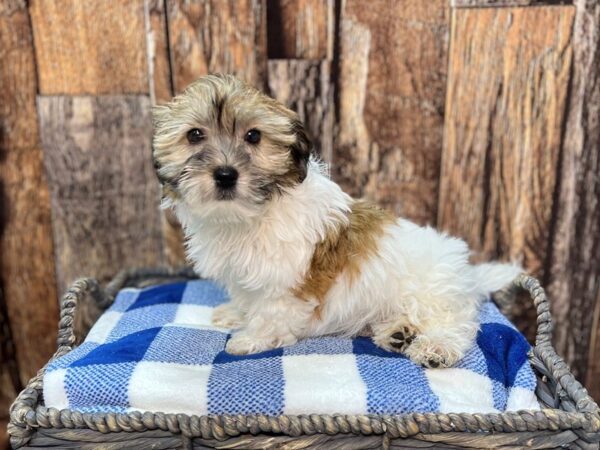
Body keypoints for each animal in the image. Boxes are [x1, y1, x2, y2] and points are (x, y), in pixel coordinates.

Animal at [151, 74, 520, 370]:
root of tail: (467, 276)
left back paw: (436, 347)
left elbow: (271, 311)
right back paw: (397, 333)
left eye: (253, 136)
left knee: (457, 321)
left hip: (432, 290)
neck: (248, 215)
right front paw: (234, 312)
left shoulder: (288, 282)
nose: (225, 174)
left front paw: (252, 338)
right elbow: (247, 297)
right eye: (194, 135)